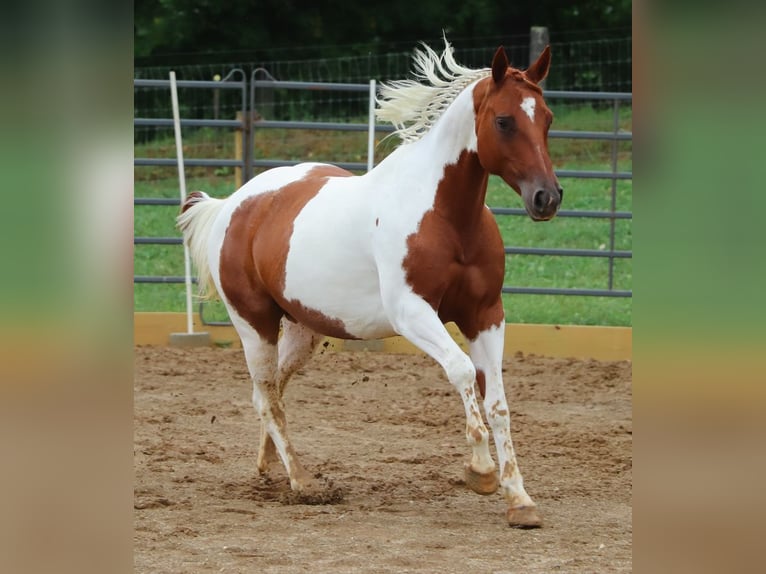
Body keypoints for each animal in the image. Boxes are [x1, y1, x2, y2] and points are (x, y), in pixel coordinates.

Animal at [177, 38, 562, 528]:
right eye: (504, 121)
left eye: (547, 118)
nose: (546, 197)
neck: (446, 217)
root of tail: (232, 204)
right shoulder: (412, 312)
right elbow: (460, 371)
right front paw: (480, 470)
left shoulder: (486, 315)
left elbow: (496, 402)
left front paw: (520, 499)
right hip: (254, 325)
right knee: (267, 398)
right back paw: (302, 481)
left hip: (302, 331)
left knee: (269, 392)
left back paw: (268, 468)